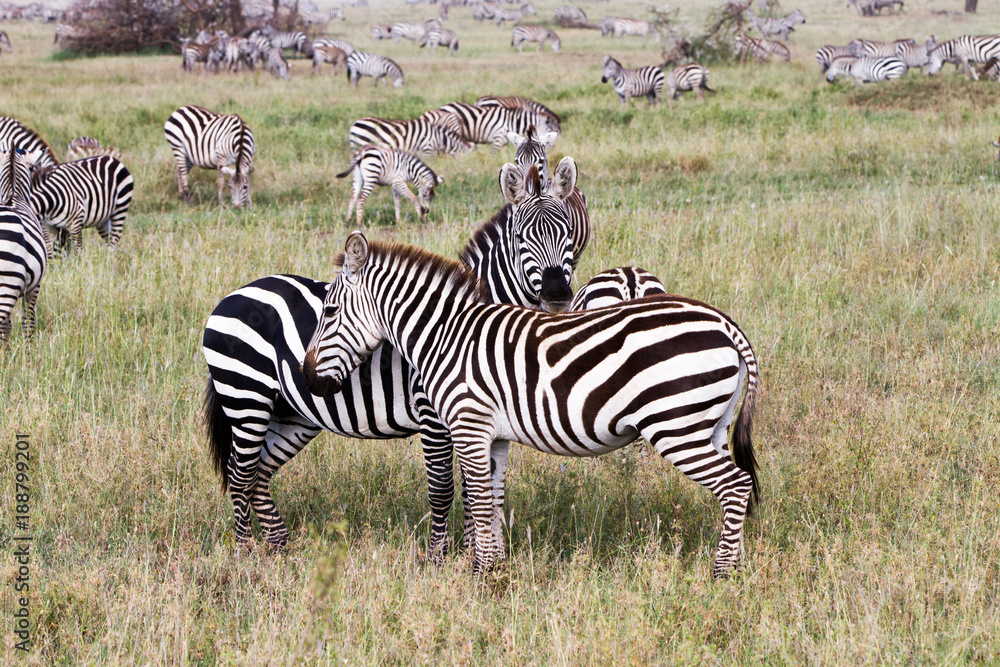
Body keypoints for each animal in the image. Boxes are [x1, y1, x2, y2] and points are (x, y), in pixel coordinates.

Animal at [203, 161, 580, 557]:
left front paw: (468, 551)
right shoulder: (434, 416)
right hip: (246, 398)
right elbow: (443, 489)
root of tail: (234, 294)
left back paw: (278, 545)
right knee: (239, 474)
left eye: (569, 233)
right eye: (522, 237)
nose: (556, 294)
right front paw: (439, 556)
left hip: (291, 415)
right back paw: (245, 551)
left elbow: (471, 488)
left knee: (259, 472)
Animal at [301, 231, 761, 579]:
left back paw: (722, 574)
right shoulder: (496, 437)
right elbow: (493, 499)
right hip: (711, 426)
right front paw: (495, 568)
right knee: (736, 488)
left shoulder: (468, 426)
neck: (447, 336)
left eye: (330, 310)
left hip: (675, 426)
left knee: (736, 485)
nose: (308, 379)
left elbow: (477, 501)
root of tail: (724, 323)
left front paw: (481, 577)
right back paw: (738, 568)